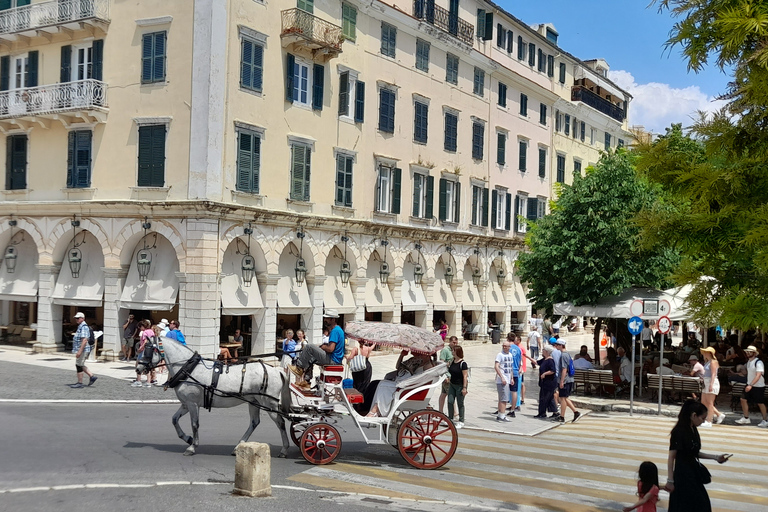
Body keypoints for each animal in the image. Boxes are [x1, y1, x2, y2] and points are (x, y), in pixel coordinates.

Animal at [152, 340, 292, 456]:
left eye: (148, 347)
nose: (143, 368)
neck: (190, 370)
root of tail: (277, 370)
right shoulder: (186, 404)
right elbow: (174, 419)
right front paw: (187, 438)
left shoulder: (193, 404)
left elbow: (195, 424)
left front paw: (192, 447)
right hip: (254, 401)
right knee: (254, 422)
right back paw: (238, 447)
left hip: (269, 404)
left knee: (280, 422)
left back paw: (284, 449)